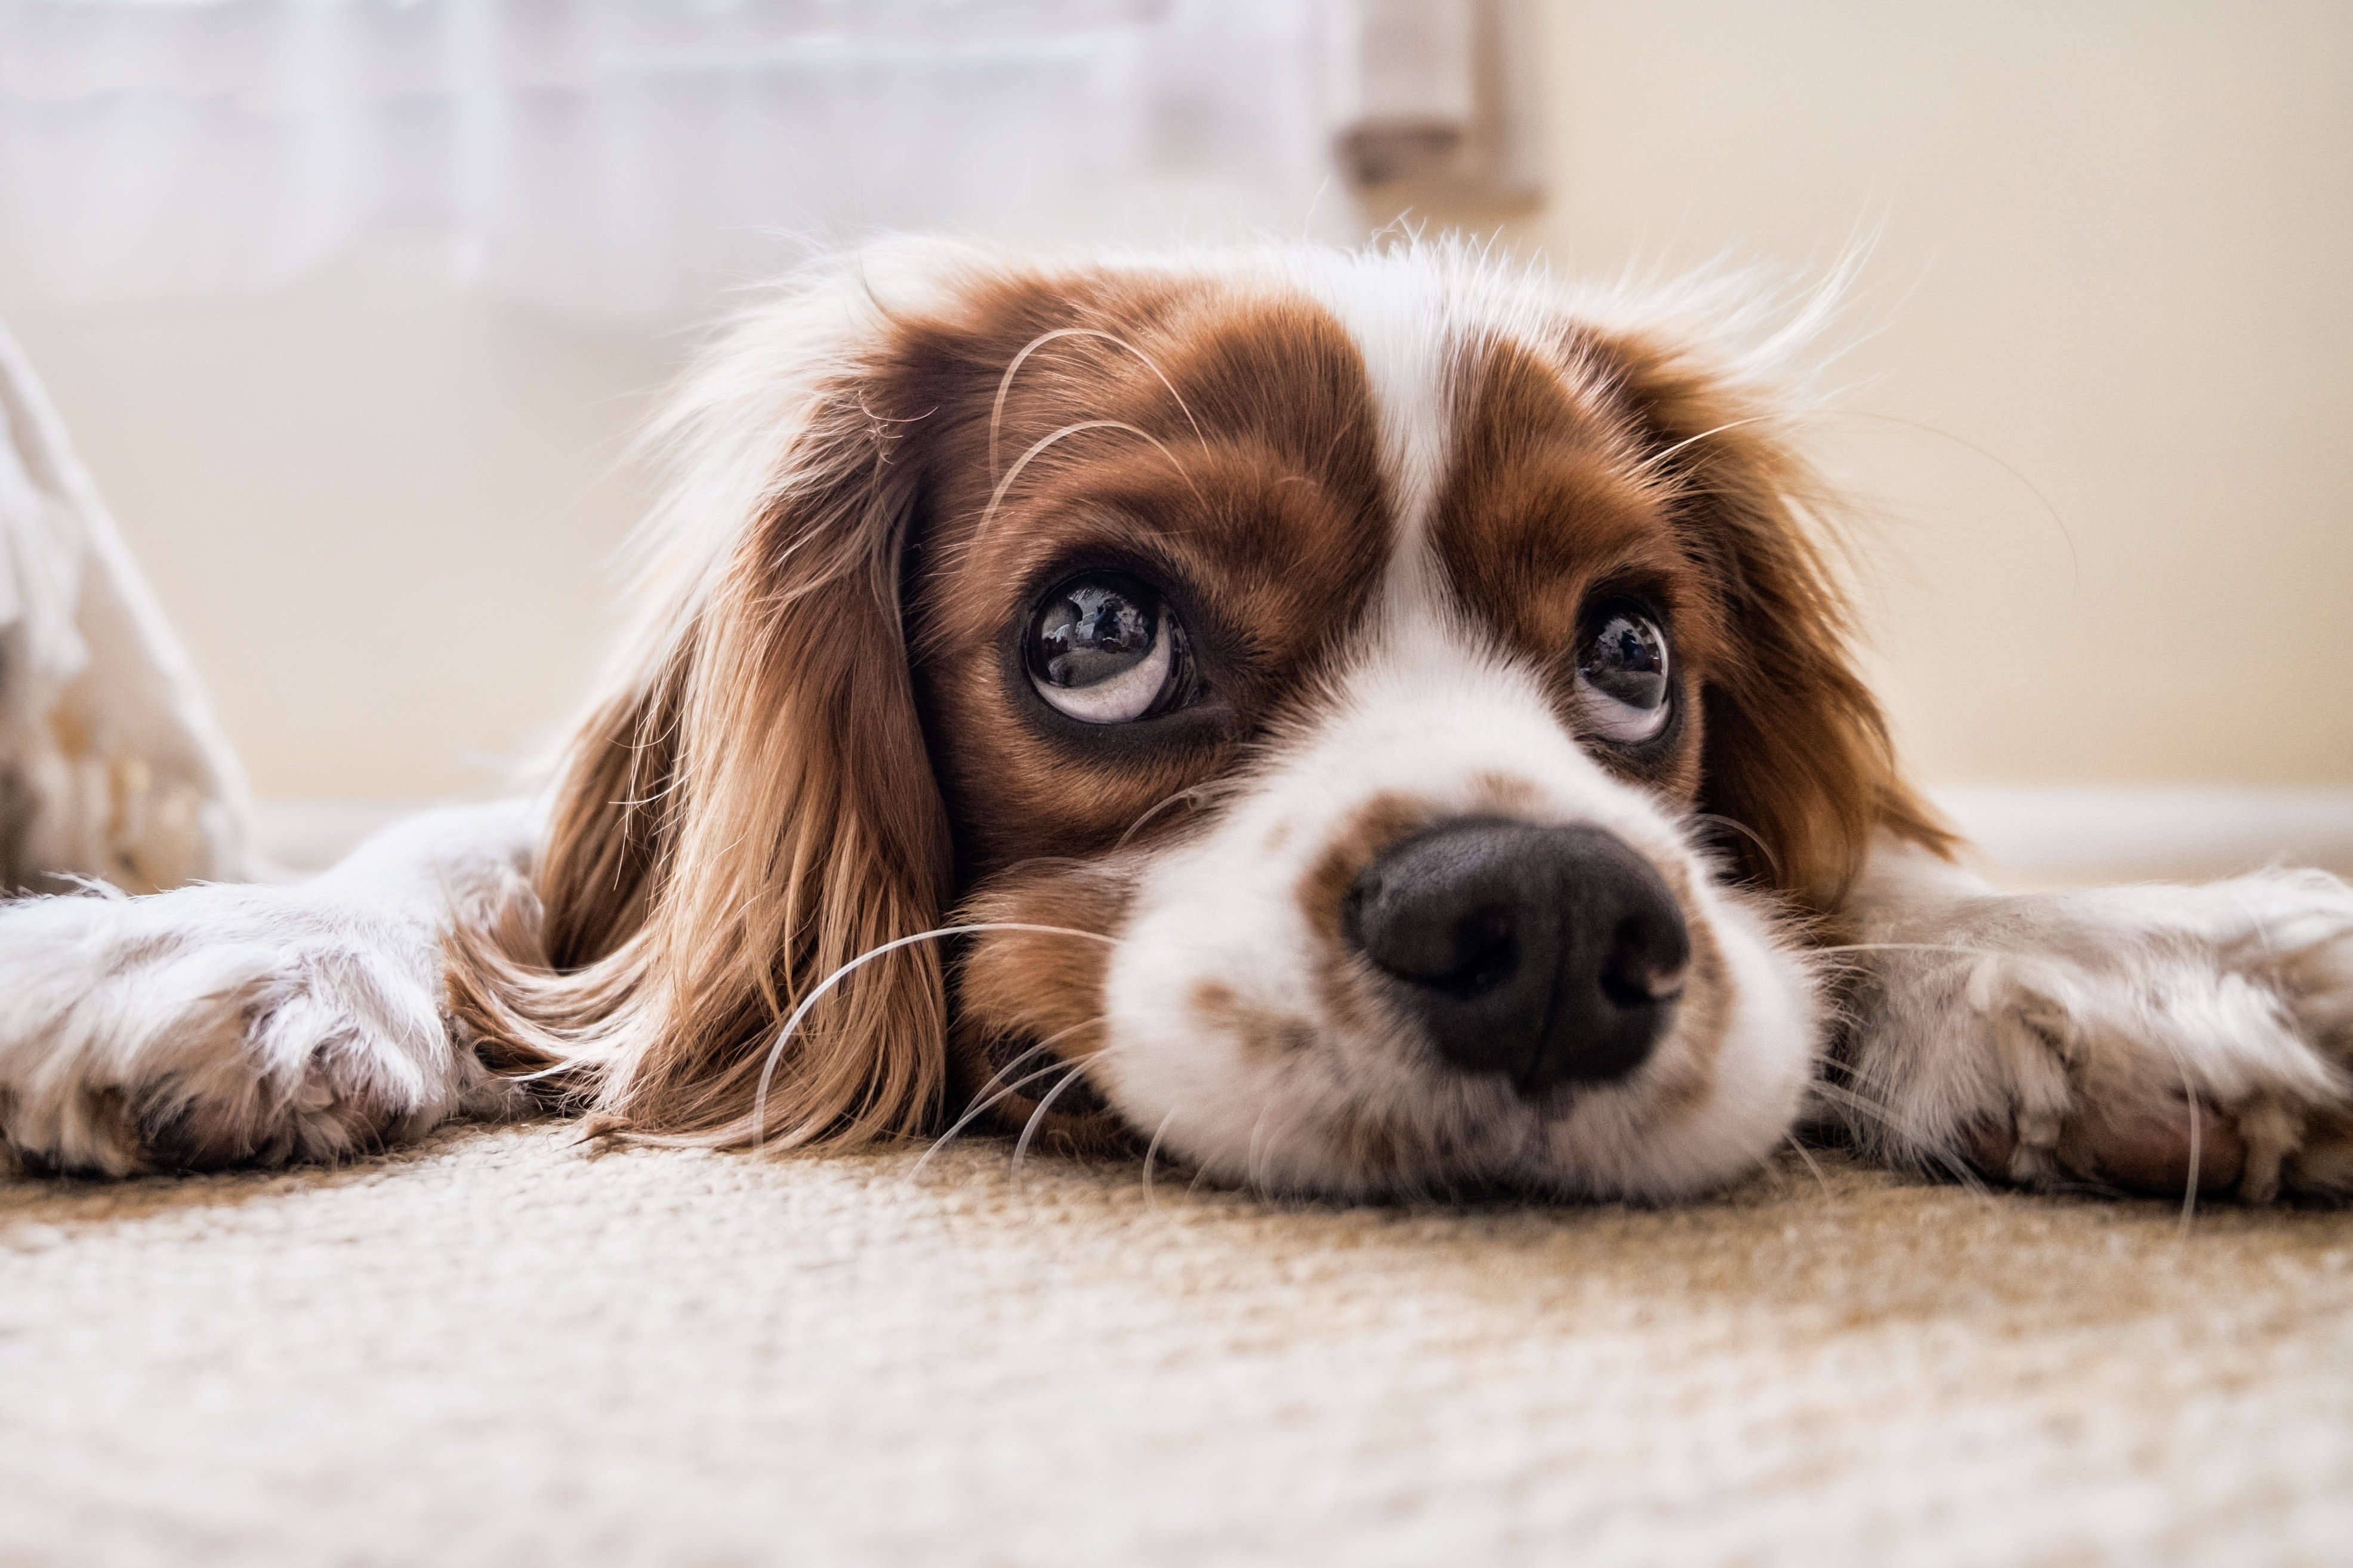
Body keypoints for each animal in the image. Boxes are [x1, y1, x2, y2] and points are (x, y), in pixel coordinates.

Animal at [4, 241, 2353, 1196]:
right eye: (1099, 630)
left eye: (1631, 655)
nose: (1550, 923)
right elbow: (474, 864)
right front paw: (209, 942)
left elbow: (1861, 879)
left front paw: (2128, 956)